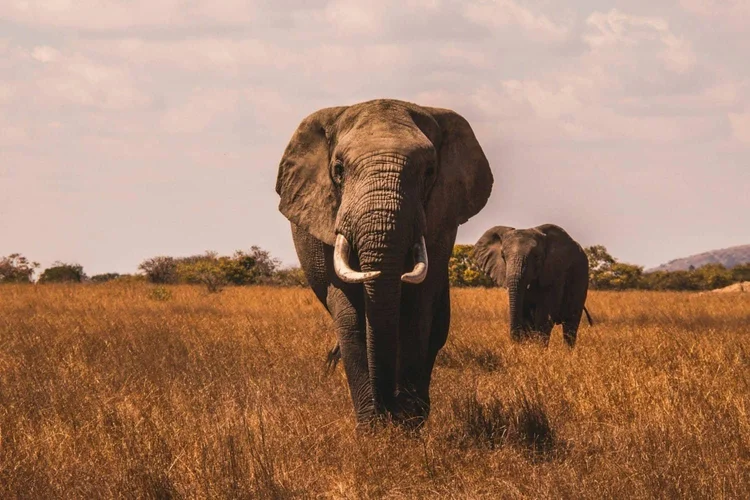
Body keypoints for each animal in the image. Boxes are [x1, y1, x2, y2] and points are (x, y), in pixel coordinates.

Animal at [275, 99, 493, 426]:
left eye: (429, 171)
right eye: (338, 170)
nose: (389, 409)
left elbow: (417, 309)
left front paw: (407, 424)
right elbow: (350, 316)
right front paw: (373, 428)